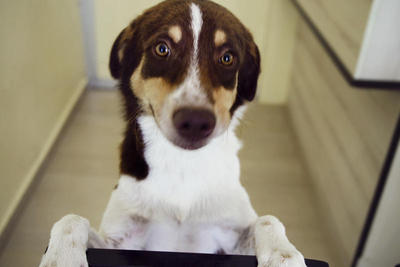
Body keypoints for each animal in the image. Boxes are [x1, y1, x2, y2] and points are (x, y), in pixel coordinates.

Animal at [39, 0, 306, 267]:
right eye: (162, 49)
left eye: (227, 58)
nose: (196, 121)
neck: (183, 164)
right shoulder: (122, 241)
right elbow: (71, 219)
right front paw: (61, 257)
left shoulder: (226, 238)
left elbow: (267, 219)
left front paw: (284, 254)